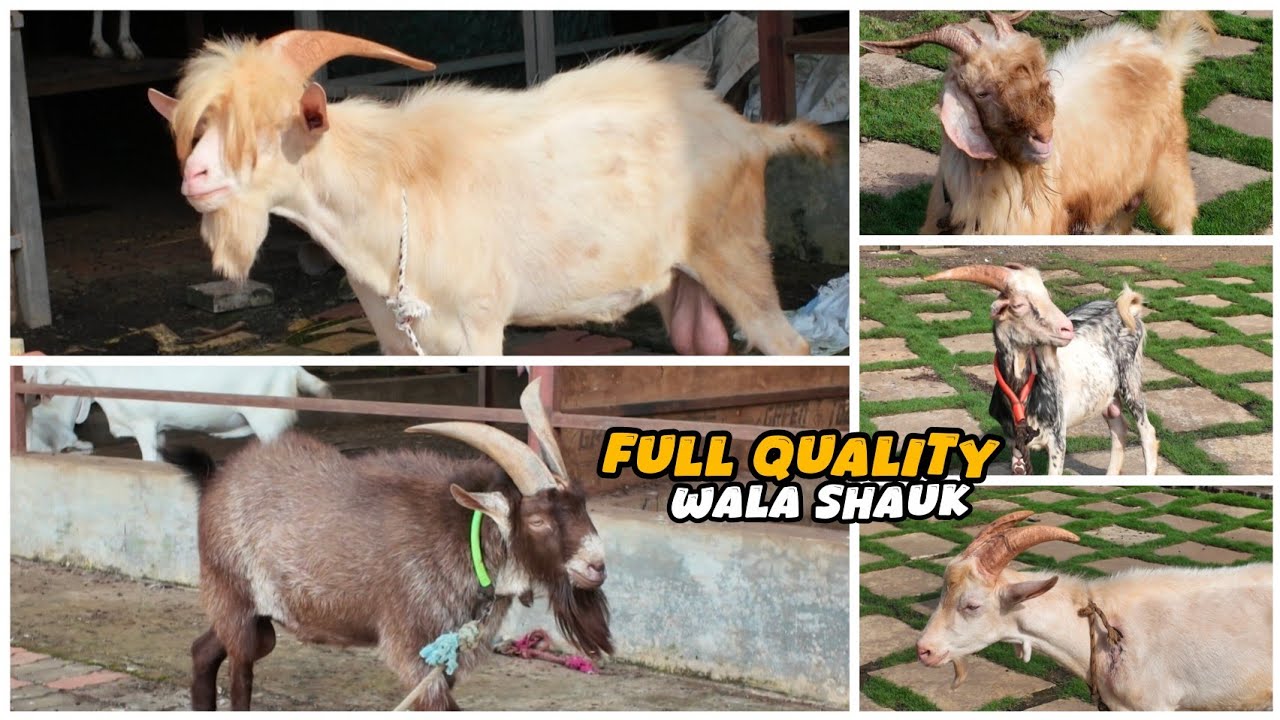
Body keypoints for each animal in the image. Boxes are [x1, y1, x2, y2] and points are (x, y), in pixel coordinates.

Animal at [146, 30, 834, 355]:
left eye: (269, 127)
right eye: (202, 127)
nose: (194, 179)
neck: (390, 184)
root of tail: (750, 131)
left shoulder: (481, 322)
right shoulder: (397, 339)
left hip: (733, 251)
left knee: (787, 343)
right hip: (682, 281)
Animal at [162, 378, 611, 710]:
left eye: (583, 503)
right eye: (537, 520)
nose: (597, 566)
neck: (462, 536)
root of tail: (216, 482)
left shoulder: (445, 655)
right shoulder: (414, 649)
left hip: (253, 612)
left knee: (202, 651)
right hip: (233, 594)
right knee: (240, 676)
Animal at [861, 11, 1214, 234]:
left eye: (1039, 77)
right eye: (981, 92)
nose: (1043, 138)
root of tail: (1165, 53)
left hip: (1169, 159)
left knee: (1180, 214)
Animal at [925, 264, 1156, 475]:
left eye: (1047, 296)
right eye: (1018, 305)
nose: (1067, 329)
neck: (1022, 393)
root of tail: (1127, 309)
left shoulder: (1057, 438)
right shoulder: (1015, 441)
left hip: (1130, 377)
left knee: (1147, 431)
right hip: (1106, 393)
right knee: (1118, 427)